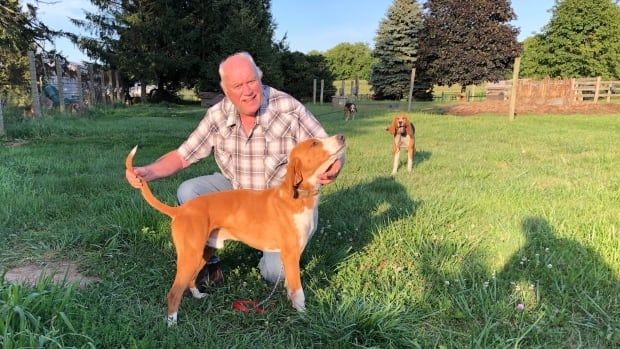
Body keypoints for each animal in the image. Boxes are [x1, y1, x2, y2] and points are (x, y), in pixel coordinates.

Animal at [123, 133, 346, 324]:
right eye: (314, 143)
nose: (342, 136)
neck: (298, 196)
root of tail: (180, 210)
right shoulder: (290, 255)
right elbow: (299, 292)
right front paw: (304, 316)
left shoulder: (292, 257)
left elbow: (290, 288)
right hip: (190, 255)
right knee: (173, 292)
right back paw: (172, 324)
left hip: (203, 252)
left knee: (191, 280)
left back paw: (198, 296)